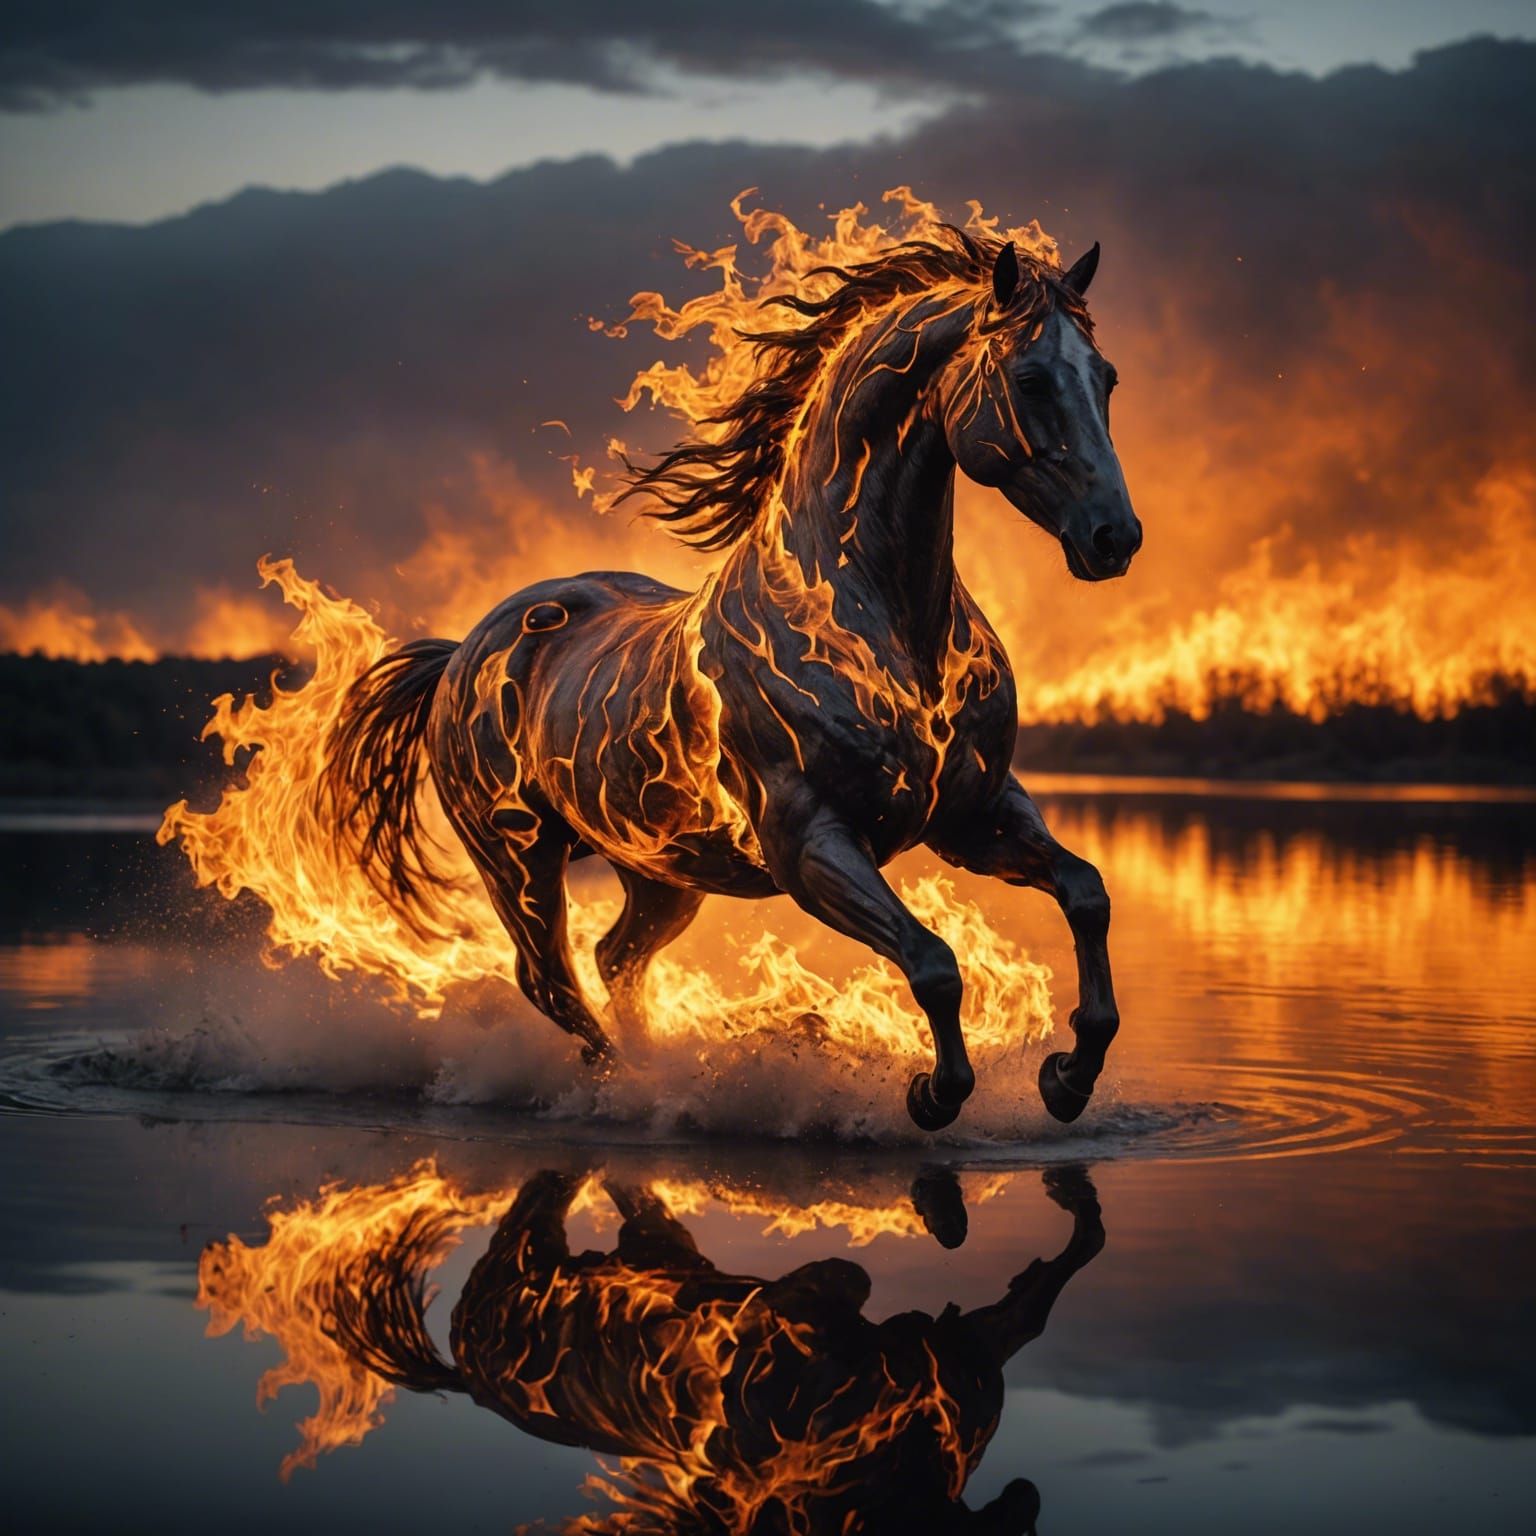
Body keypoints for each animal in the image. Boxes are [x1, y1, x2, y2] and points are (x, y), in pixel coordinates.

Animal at [321, 225, 1140, 1132]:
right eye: (1030, 377)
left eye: (1105, 377)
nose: (1115, 538)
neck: (889, 628)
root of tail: (460, 654)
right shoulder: (811, 843)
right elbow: (933, 961)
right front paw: (933, 1092)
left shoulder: (976, 816)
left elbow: (1087, 893)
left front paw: (1067, 1077)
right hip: (519, 861)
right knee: (552, 982)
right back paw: (631, 1090)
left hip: (662, 874)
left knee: (614, 960)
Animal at [329, 1166, 1106, 1534]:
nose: (1024, 1499)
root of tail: (464, 1372)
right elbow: (841, 1280)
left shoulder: (969, 1351)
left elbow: (1051, 1283)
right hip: (529, 1244)